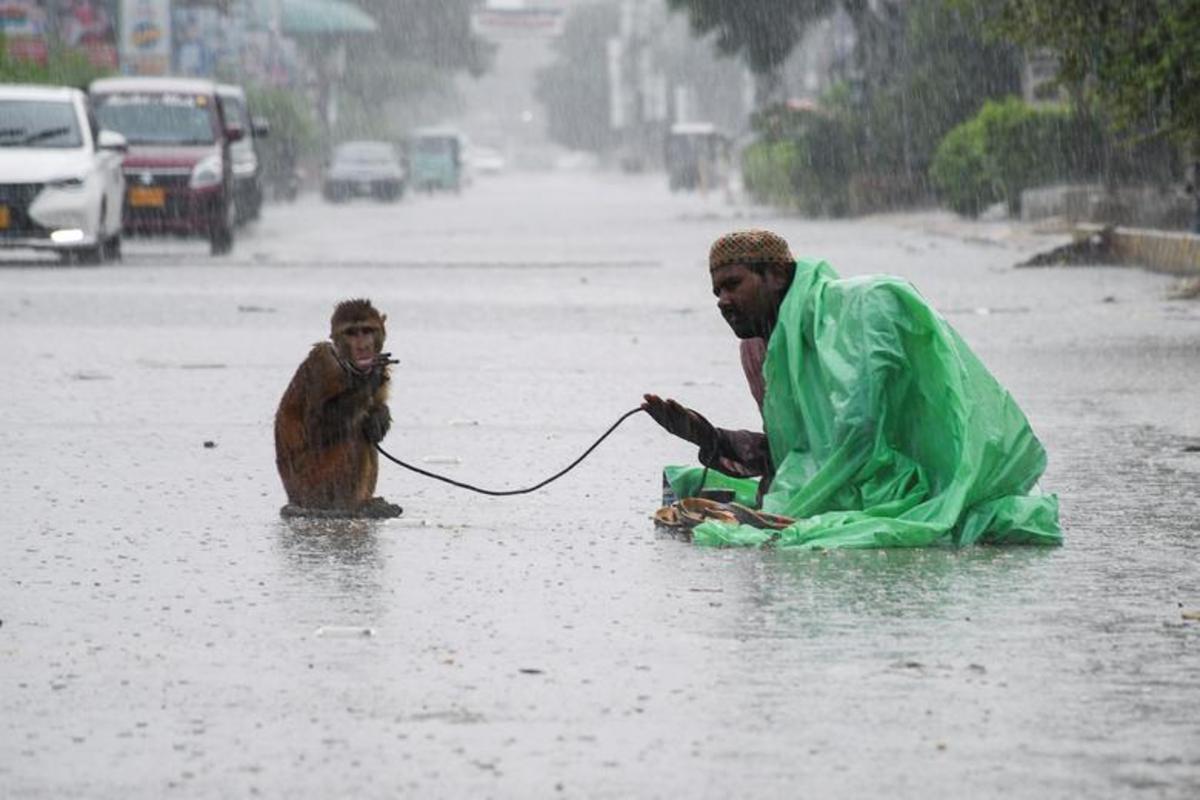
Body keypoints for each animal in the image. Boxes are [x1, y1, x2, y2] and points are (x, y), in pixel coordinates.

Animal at [274, 299, 400, 520]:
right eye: (351, 333)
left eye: (367, 330)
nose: (363, 346)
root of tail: (294, 500)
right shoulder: (324, 365)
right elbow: (318, 426)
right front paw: (370, 378)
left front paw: (380, 415)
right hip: (314, 484)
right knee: (353, 432)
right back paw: (348, 507)